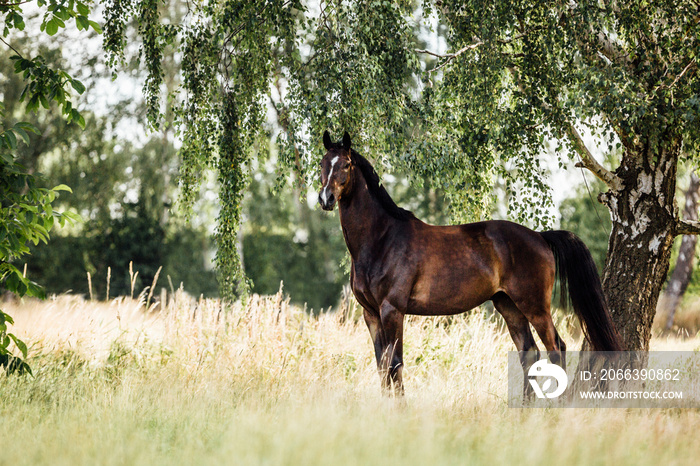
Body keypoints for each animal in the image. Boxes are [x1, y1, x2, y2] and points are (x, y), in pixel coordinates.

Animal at [320, 130, 620, 394]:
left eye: (346, 164)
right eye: (322, 164)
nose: (326, 198)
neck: (382, 239)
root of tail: (539, 236)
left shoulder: (392, 310)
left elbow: (395, 365)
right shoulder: (370, 313)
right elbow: (382, 367)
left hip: (534, 306)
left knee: (556, 348)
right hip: (509, 306)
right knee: (529, 353)